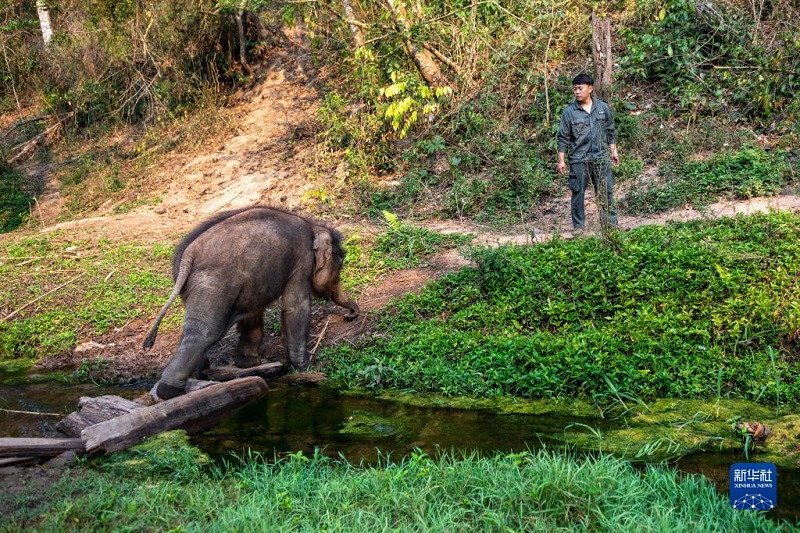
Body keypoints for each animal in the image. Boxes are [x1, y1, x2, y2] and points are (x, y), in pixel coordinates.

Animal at [142, 206, 358, 396]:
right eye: (339, 265)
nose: (350, 316)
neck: (313, 226)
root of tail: (188, 254)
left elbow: (253, 314)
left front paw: (249, 364)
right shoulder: (301, 261)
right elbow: (295, 308)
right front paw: (305, 367)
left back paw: (199, 375)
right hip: (212, 285)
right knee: (204, 332)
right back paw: (169, 391)